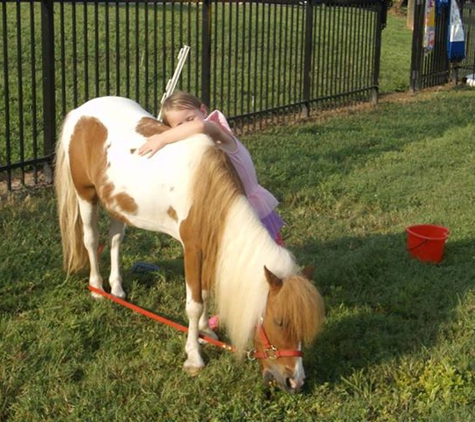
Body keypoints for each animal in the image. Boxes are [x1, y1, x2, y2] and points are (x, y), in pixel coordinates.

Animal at [54, 95, 326, 392]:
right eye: (279, 321)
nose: (295, 381)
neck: (205, 190)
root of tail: (81, 111)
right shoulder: (193, 249)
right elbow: (193, 304)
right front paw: (194, 356)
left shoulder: (209, 245)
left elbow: (204, 293)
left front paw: (207, 331)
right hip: (86, 195)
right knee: (91, 240)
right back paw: (97, 288)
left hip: (118, 205)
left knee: (115, 240)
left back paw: (117, 288)